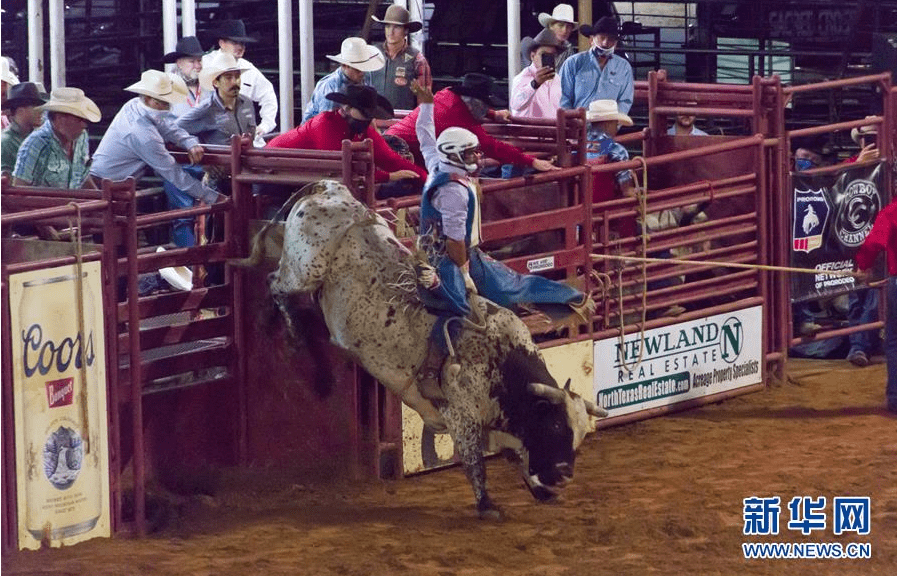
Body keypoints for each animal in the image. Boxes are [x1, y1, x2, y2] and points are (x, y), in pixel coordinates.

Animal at [234, 181, 604, 520]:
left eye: (581, 435)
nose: (563, 477)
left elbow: (513, 454)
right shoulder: (461, 415)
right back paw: (289, 331)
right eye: (554, 426)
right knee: (274, 283)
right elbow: (474, 462)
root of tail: (330, 190)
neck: (501, 362)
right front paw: (487, 506)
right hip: (305, 269)